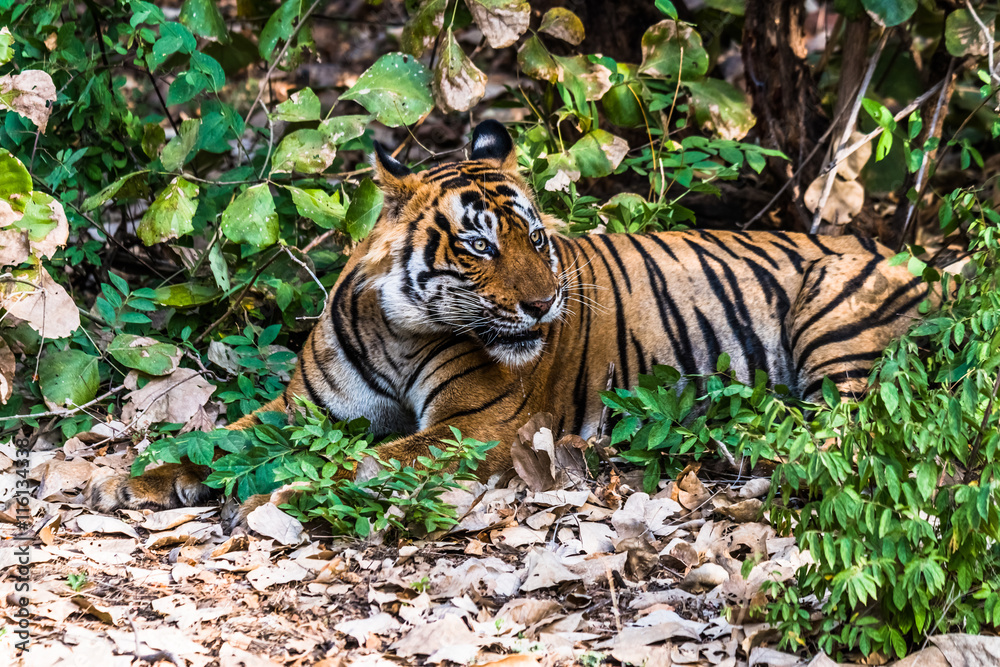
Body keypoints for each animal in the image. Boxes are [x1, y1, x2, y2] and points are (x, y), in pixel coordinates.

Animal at [92, 119, 929, 514]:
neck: (398, 331)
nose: (543, 301)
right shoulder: (305, 408)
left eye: (536, 238)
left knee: (839, 434)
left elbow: (374, 464)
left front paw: (281, 496)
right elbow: (220, 437)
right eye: (478, 245)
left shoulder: (476, 425)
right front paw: (131, 478)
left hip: (833, 319)